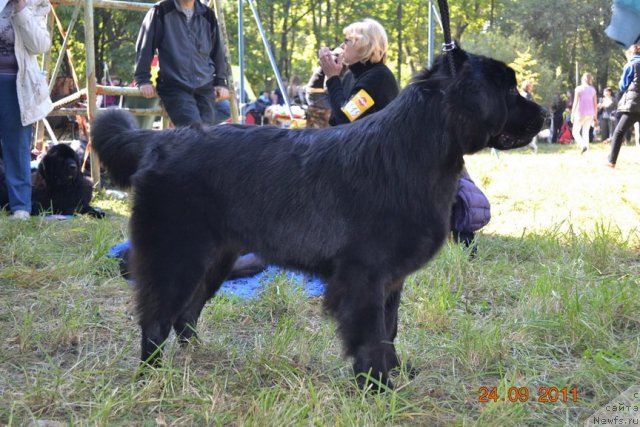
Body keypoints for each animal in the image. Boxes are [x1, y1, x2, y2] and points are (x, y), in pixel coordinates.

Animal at [91, 49, 544, 392]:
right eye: (508, 89)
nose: (541, 114)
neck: (416, 149)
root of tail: (161, 137)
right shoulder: (364, 276)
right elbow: (369, 337)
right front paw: (377, 389)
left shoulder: (391, 280)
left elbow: (390, 328)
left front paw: (395, 372)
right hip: (177, 254)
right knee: (157, 317)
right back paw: (151, 376)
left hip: (218, 257)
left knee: (187, 313)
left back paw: (199, 356)